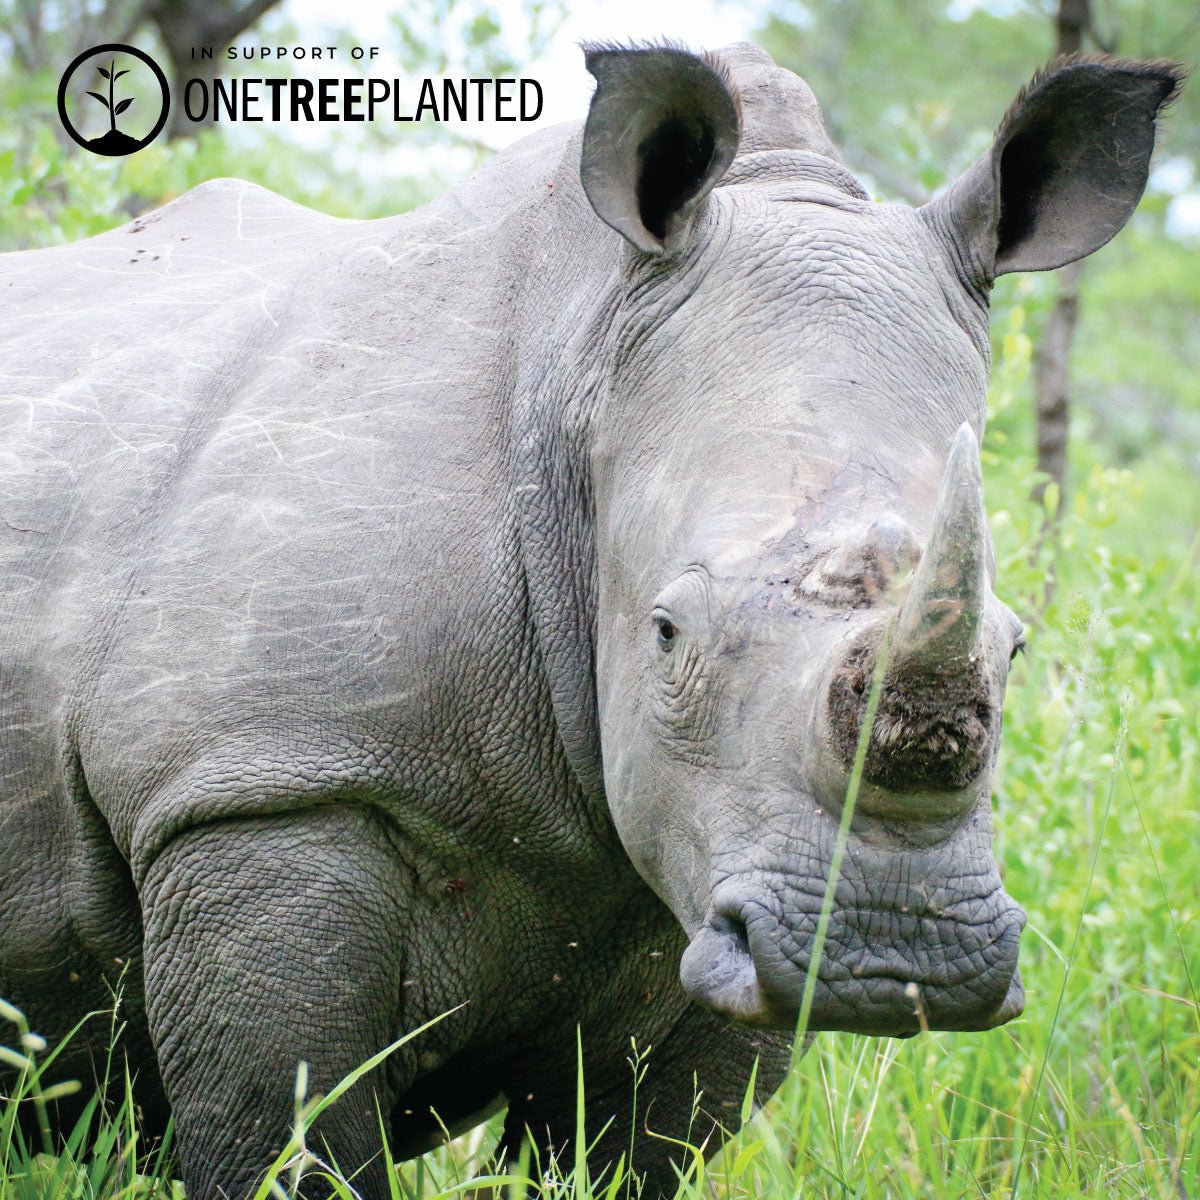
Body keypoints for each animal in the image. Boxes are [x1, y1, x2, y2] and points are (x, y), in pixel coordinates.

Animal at [0, 39, 1182, 1200]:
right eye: (666, 634)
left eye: (1015, 647)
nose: (894, 957)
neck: (582, 361)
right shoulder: (265, 778)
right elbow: (292, 1142)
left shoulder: (719, 900)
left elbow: (635, 1149)